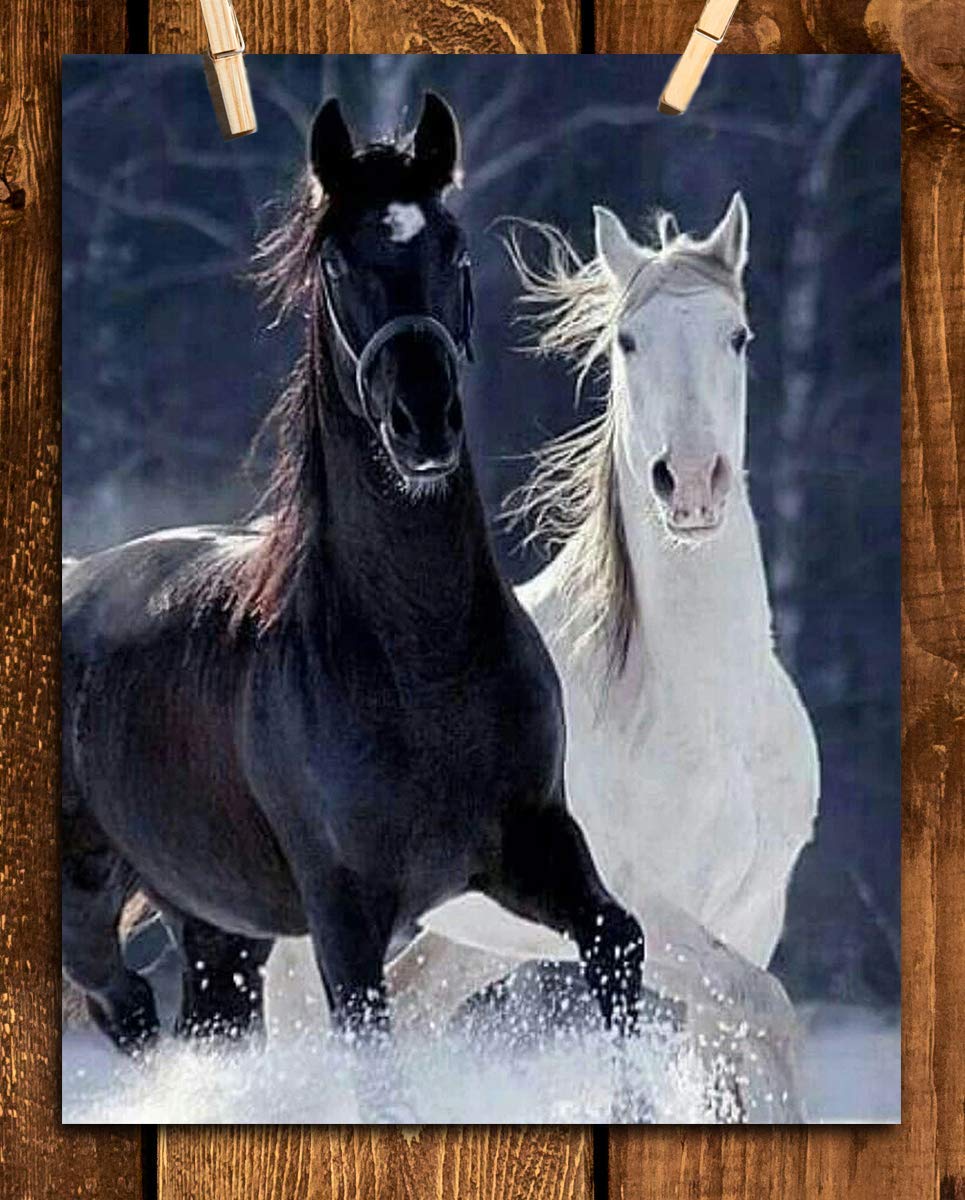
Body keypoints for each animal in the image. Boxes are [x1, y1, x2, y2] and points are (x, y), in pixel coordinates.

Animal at [61, 93, 647, 1071]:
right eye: (337, 262)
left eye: (452, 247)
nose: (422, 421)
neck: (420, 661)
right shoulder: (344, 917)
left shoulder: (534, 844)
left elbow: (617, 942)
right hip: (85, 905)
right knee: (130, 1008)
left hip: (219, 925)